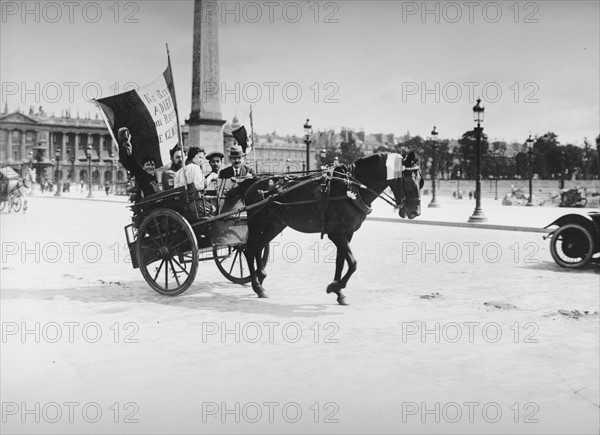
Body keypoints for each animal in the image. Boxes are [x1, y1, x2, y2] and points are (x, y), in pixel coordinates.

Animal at [241, 153, 424, 306]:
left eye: (420, 181)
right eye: (408, 181)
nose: (415, 212)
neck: (351, 187)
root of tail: (256, 181)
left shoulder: (347, 234)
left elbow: (341, 262)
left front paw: (339, 291)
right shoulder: (336, 234)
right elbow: (353, 263)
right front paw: (335, 286)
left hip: (275, 224)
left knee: (259, 246)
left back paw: (261, 278)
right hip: (257, 221)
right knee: (249, 249)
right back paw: (257, 285)